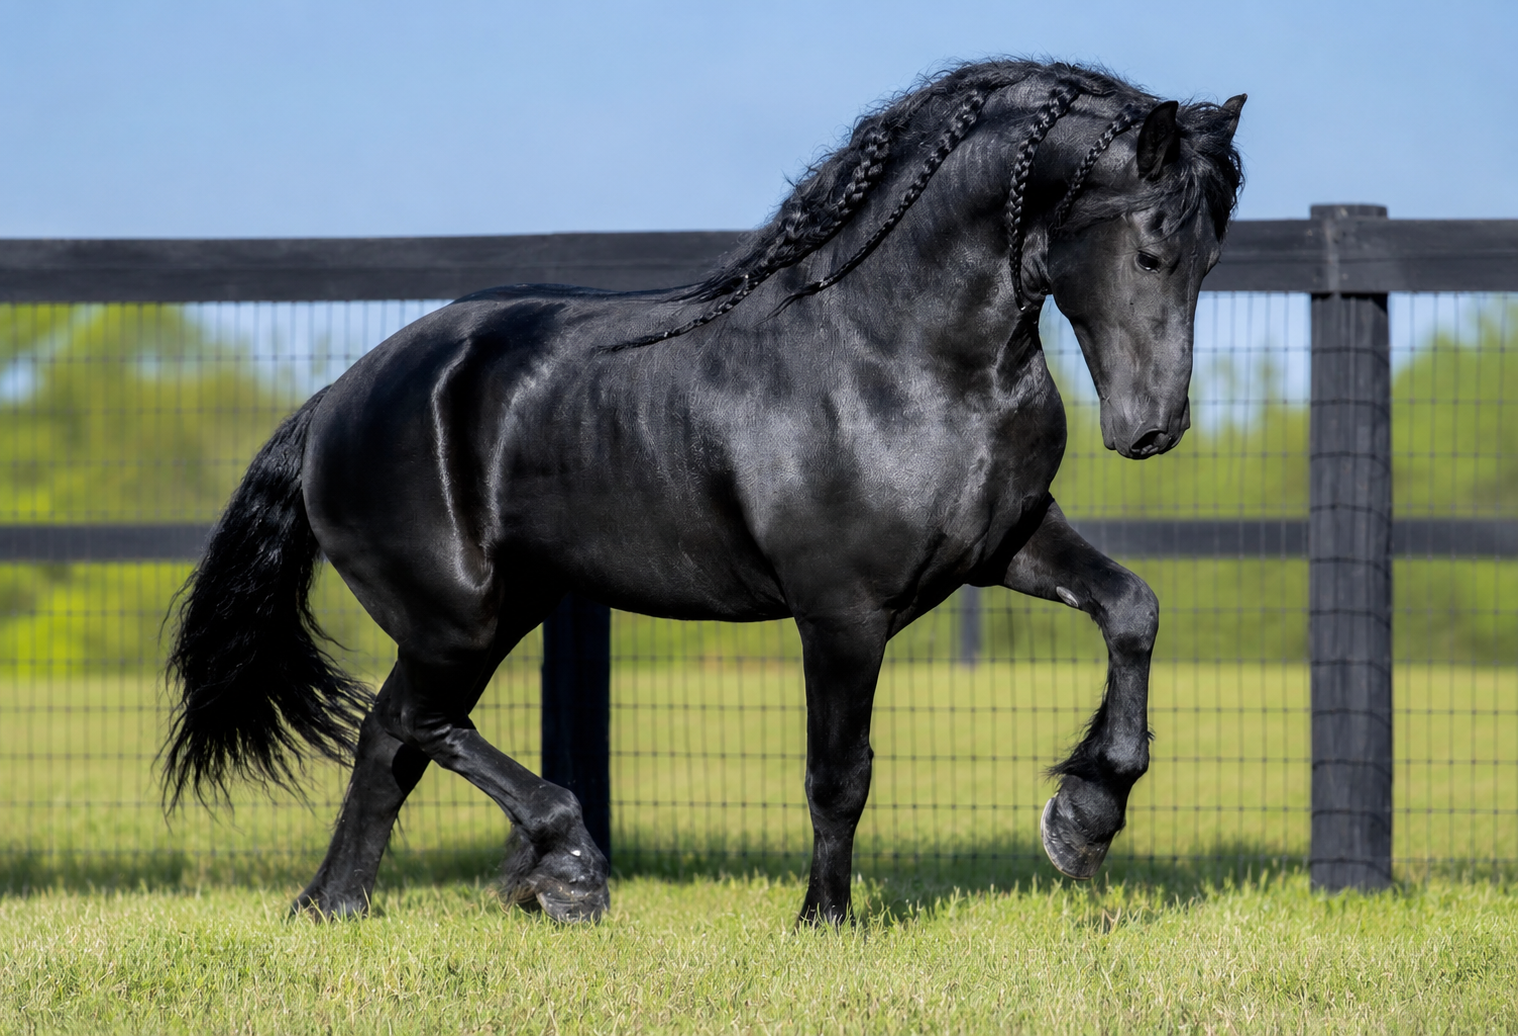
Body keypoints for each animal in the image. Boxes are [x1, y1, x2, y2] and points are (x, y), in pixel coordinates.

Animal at [164, 59, 1244, 925]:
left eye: (1209, 256)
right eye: (1150, 248)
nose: (1152, 429)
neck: (896, 355)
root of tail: (337, 399)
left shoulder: (1006, 544)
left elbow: (1132, 609)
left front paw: (1083, 819)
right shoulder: (842, 611)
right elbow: (840, 774)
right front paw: (824, 922)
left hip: (496, 612)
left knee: (391, 740)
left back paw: (337, 906)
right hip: (457, 617)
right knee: (416, 725)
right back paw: (566, 870)